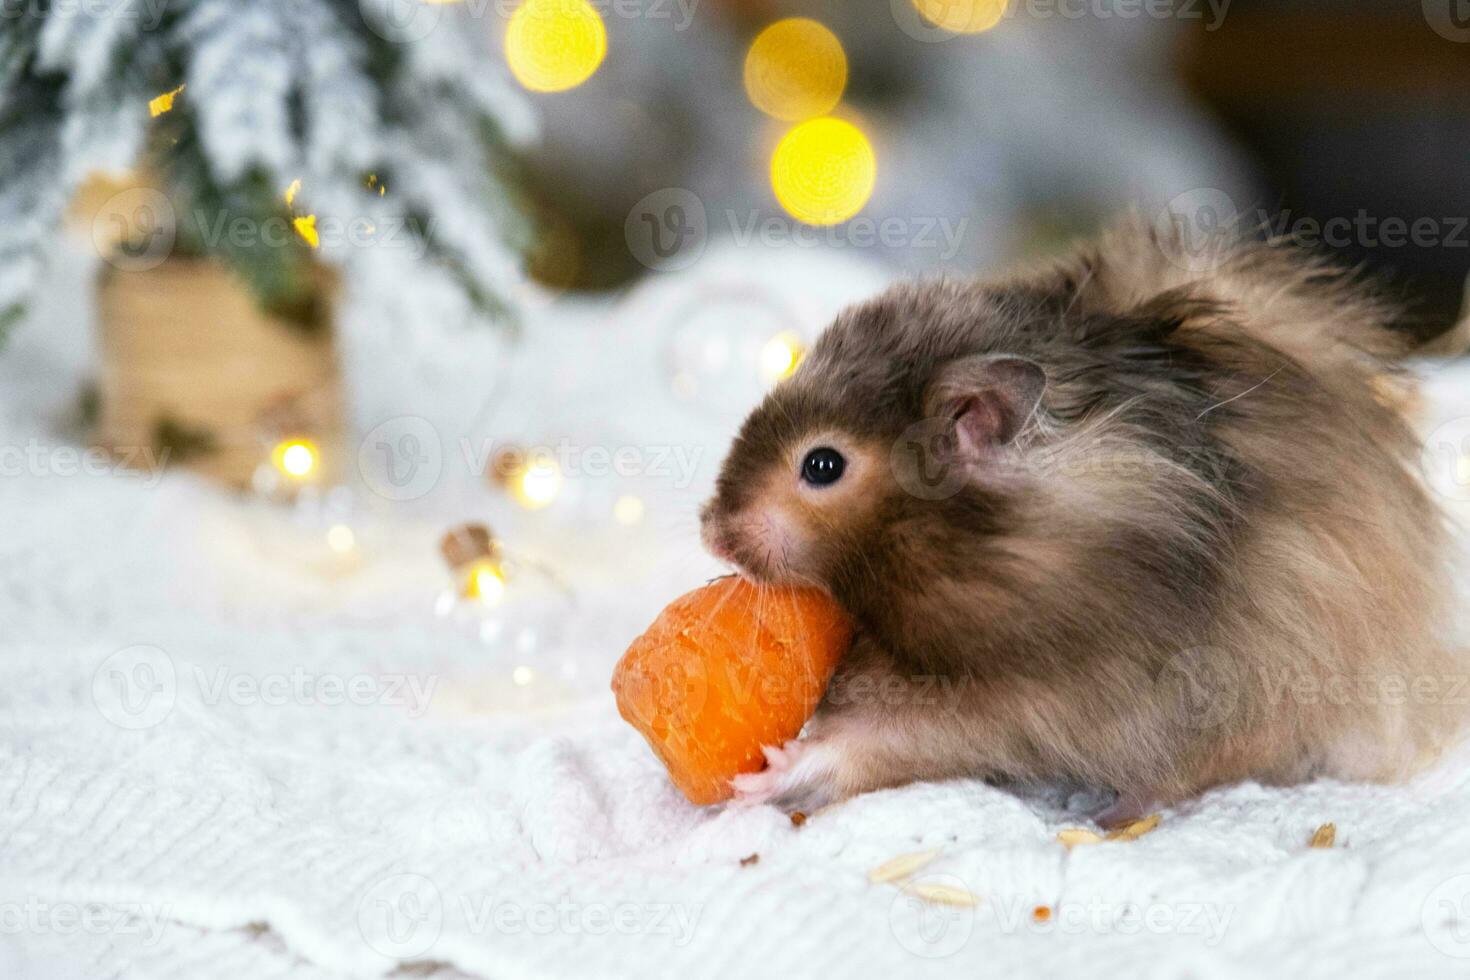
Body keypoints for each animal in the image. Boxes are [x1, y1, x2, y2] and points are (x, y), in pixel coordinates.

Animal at [699, 217, 1467, 819]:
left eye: (822, 465)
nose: (711, 530)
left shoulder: (1029, 688)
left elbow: (881, 739)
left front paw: (768, 772)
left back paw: (1110, 815)